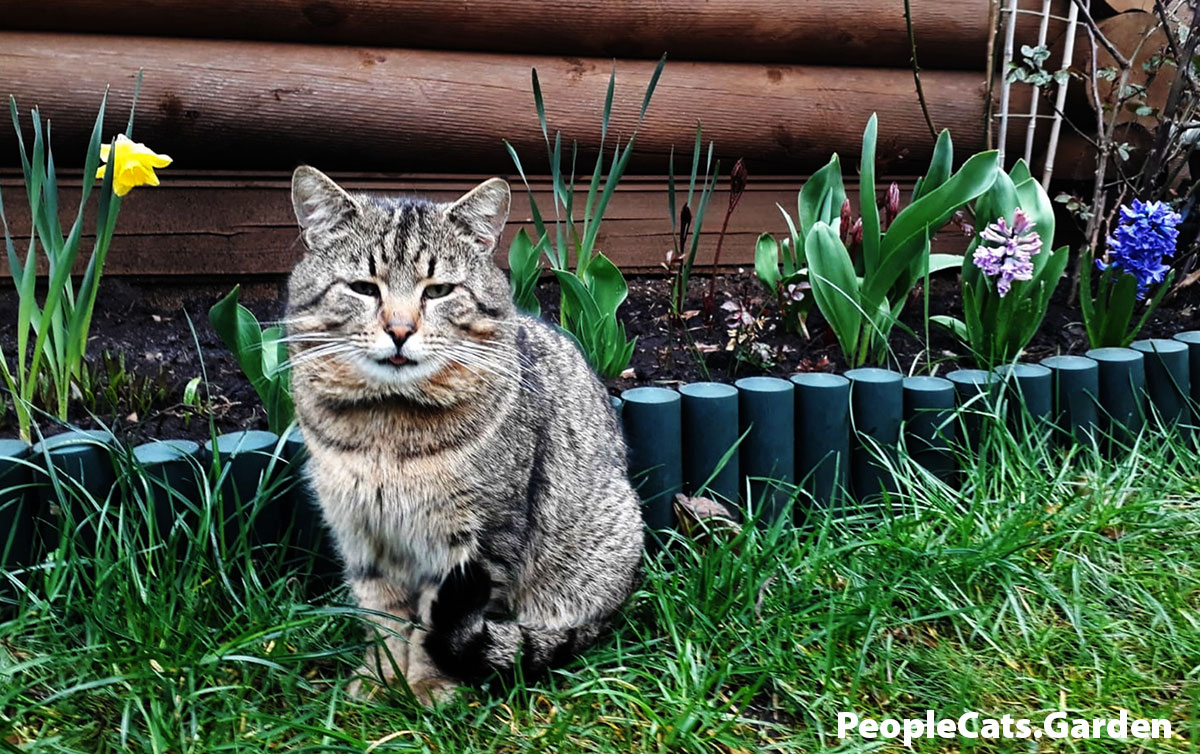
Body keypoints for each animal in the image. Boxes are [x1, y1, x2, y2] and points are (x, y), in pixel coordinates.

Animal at [285, 168, 643, 705]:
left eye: (438, 292)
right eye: (364, 288)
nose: (399, 330)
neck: (387, 430)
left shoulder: (480, 541)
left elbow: (433, 624)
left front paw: (428, 684)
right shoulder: (361, 534)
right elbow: (383, 617)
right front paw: (382, 679)